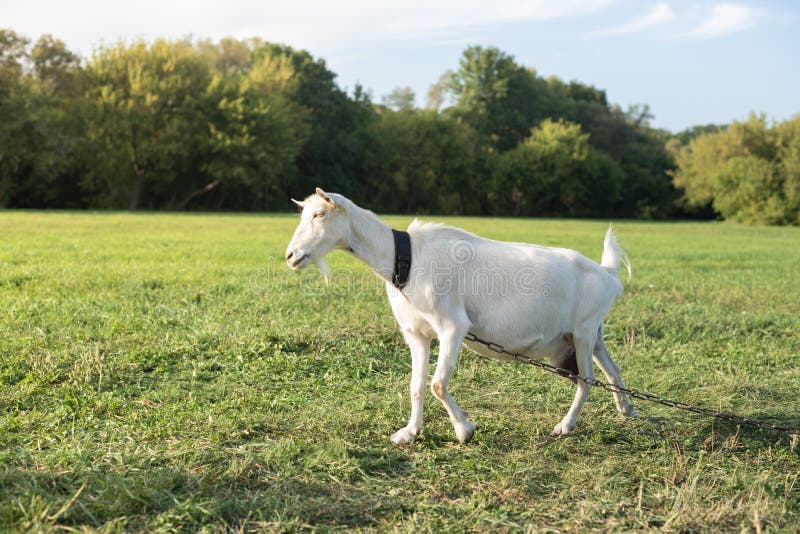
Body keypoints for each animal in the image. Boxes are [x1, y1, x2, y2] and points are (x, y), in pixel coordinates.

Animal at [288, 188, 636, 448]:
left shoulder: (452, 327)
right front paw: (410, 433)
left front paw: (464, 429)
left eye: (320, 214)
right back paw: (626, 407)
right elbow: (417, 385)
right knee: (611, 367)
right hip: (588, 334)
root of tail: (606, 274)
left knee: (587, 378)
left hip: (583, 330)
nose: (291, 256)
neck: (405, 258)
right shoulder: (417, 333)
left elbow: (438, 384)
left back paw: (565, 426)